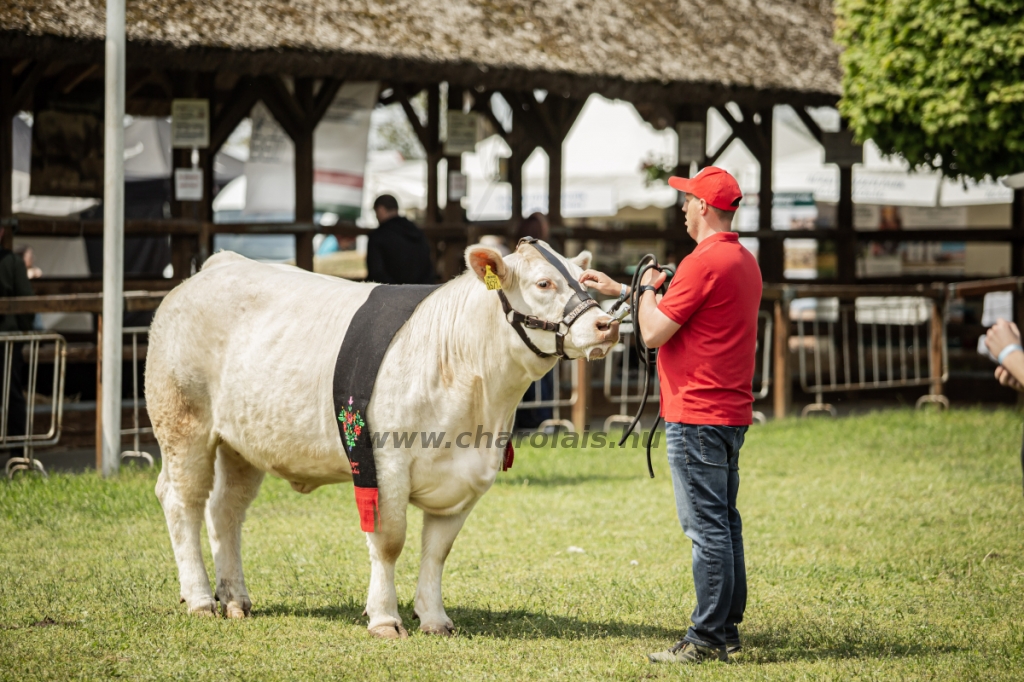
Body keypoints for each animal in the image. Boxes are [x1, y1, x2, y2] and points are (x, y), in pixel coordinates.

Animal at [148, 238, 618, 630]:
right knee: (182, 501)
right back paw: (199, 598)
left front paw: (433, 618)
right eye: (544, 282)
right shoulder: (384, 465)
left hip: (242, 444)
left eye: (585, 280)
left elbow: (438, 550)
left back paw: (234, 598)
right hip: (183, 423)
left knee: (225, 510)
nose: (606, 325)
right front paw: (385, 618)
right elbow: (390, 542)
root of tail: (220, 264)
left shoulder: (466, 477)